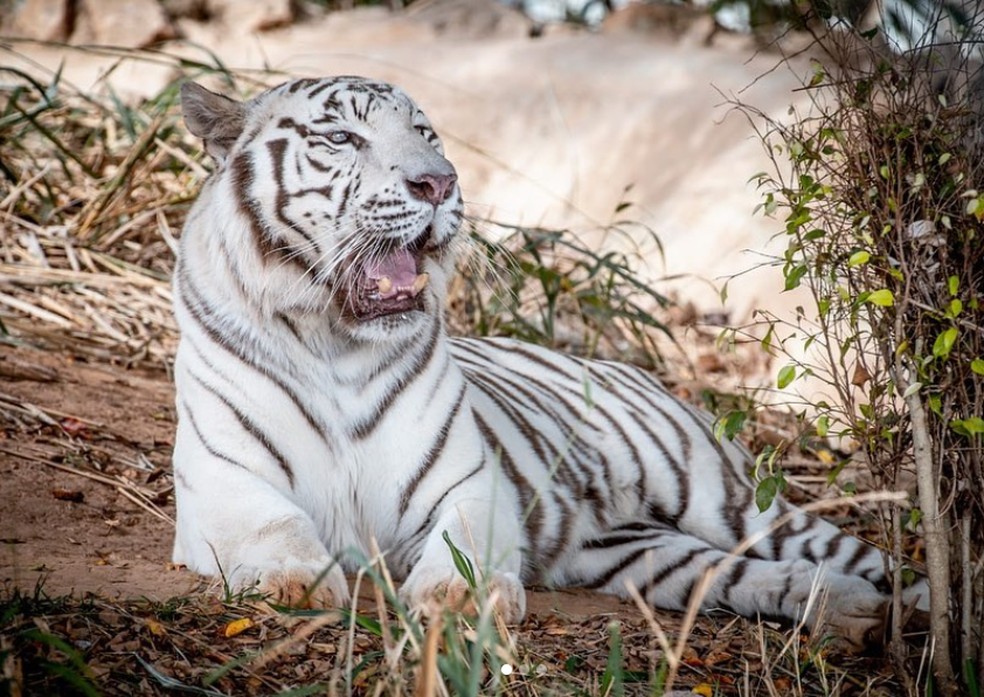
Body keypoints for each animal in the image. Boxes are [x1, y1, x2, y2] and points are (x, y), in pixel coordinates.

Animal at [171, 75, 925, 651]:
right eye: (340, 139)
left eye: (426, 134)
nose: (438, 182)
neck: (335, 341)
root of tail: (632, 368)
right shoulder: (223, 478)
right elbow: (276, 525)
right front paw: (293, 583)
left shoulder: (469, 481)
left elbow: (462, 541)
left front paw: (459, 598)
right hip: (634, 552)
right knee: (737, 573)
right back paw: (854, 612)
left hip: (729, 499)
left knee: (875, 558)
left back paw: (906, 611)